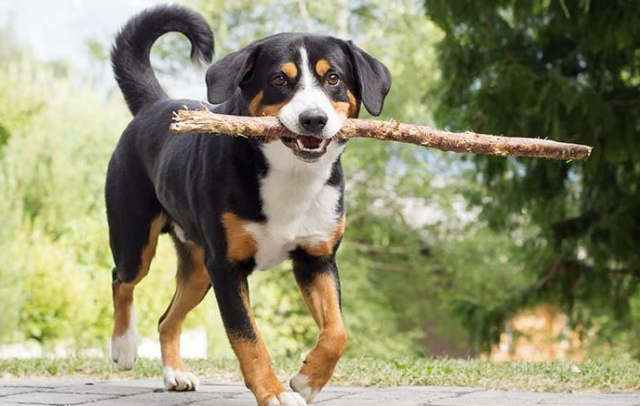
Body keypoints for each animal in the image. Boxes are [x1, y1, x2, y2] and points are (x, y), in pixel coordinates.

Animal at [106, 3, 390, 406]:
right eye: (280, 80)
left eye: (333, 78)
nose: (313, 119)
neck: (291, 176)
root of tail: (156, 104)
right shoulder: (227, 267)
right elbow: (248, 338)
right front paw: (273, 393)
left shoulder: (316, 259)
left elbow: (337, 332)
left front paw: (308, 380)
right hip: (136, 239)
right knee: (122, 280)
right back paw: (125, 345)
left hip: (199, 270)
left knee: (167, 319)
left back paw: (175, 373)